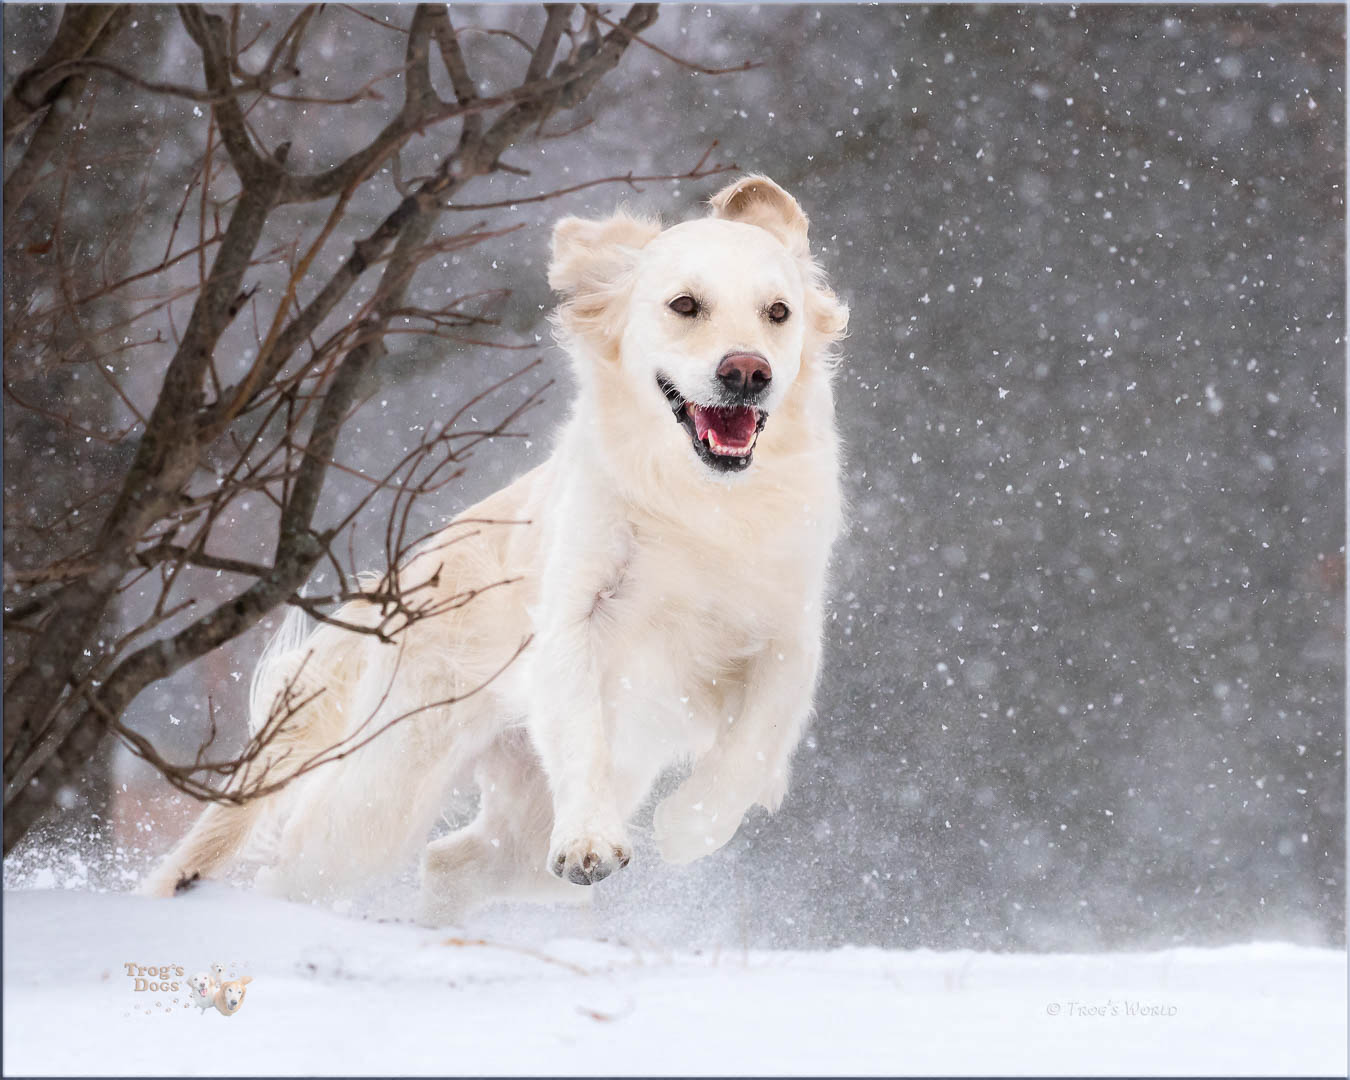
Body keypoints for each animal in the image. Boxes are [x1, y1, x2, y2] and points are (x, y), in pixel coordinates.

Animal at [145, 175, 842, 918]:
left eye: (778, 312)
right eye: (685, 304)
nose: (748, 372)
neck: (702, 502)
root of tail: (399, 579)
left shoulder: (789, 633)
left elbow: (757, 741)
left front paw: (688, 828)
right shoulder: (576, 620)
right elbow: (581, 733)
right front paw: (592, 843)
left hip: (525, 827)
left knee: (450, 861)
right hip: (381, 793)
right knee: (298, 865)